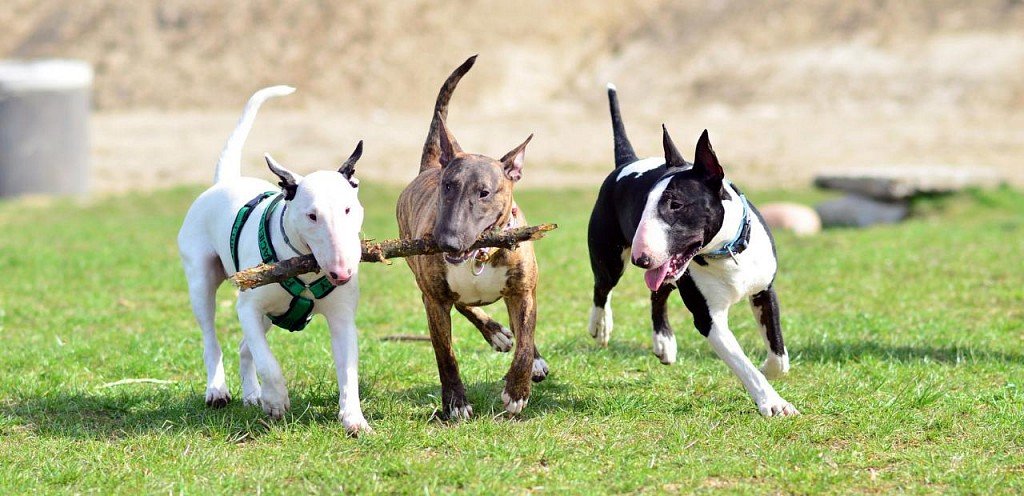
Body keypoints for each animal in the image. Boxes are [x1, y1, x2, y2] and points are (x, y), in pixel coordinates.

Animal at [179, 86, 372, 434]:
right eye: (312, 216)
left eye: (349, 209)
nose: (341, 273)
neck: (306, 270)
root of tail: (225, 181)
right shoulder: (248, 308)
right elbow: (268, 363)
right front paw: (277, 399)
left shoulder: (342, 318)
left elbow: (348, 371)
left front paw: (354, 419)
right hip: (201, 281)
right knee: (213, 339)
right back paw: (218, 389)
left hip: (270, 316)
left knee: (245, 348)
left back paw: (253, 395)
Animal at [395, 56, 548, 420]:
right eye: (448, 186)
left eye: (484, 193)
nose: (449, 243)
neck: (481, 253)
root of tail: (428, 166)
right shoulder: (434, 300)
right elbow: (445, 354)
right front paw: (455, 402)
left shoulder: (524, 291)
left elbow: (525, 340)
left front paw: (517, 391)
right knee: (464, 303)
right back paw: (494, 333)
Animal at [585, 86, 798, 418]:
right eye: (643, 205)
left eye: (676, 204)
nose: (640, 258)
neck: (726, 253)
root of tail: (627, 161)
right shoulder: (708, 318)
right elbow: (743, 364)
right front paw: (772, 402)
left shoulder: (764, 291)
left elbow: (779, 354)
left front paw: (768, 369)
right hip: (610, 257)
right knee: (602, 288)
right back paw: (601, 325)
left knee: (657, 293)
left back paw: (664, 342)